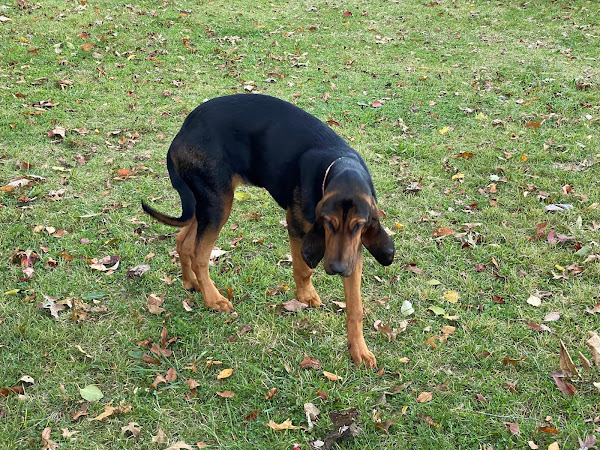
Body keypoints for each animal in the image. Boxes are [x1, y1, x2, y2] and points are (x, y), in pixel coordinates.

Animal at [142, 94, 394, 367]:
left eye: (358, 226)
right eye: (329, 223)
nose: (337, 269)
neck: (339, 164)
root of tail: (182, 133)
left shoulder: (353, 253)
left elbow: (355, 307)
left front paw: (359, 350)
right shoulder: (296, 226)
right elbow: (303, 268)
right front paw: (305, 295)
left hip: (204, 203)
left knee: (183, 242)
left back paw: (191, 283)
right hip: (217, 202)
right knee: (200, 255)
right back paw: (213, 299)